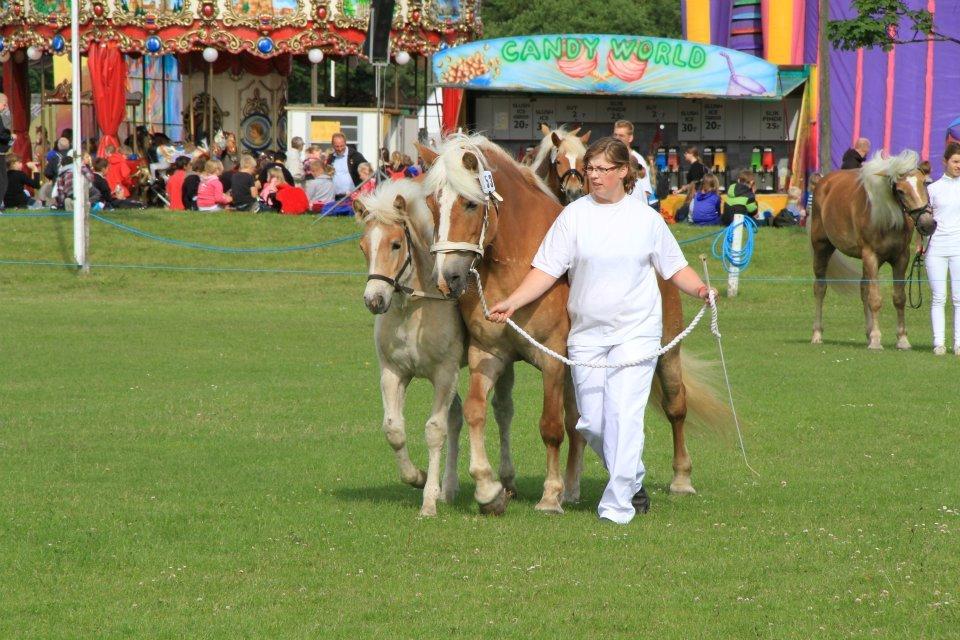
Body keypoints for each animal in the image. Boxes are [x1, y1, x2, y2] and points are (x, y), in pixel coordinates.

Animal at [354, 179, 516, 516]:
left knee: (502, 411)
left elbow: (434, 430)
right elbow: (393, 429)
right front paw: (417, 477)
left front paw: (428, 502)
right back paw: (449, 488)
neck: (412, 311)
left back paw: (504, 482)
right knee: (456, 418)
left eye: (395, 244)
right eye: (363, 247)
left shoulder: (443, 374)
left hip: (497, 364)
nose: (374, 300)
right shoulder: (393, 374)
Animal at [808, 150, 936, 350]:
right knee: (820, 288)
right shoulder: (871, 256)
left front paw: (902, 340)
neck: (887, 218)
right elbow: (875, 299)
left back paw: (868, 333)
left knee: (863, 289)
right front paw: (876, 340)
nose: (927, 224)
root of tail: (822, 182)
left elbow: (899, 298)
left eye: (925, 183)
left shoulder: (901, 258)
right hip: (822, 248)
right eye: (900, 190)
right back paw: (817, 334)